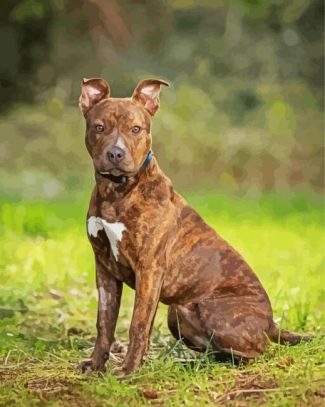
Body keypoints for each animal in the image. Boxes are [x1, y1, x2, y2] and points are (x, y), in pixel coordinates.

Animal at [78, 76, 312, 376]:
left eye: (136, 129)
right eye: (99, 127)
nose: (116, 153)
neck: (116, 191)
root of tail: (271, 323)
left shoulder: (149, 269)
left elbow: (138, 324)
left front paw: (128, 370)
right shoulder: (105, 269)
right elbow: (104, 324)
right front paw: (96, 365)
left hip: (212, 312)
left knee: (256, 353)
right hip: (178, 313)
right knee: (217, 350)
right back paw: (191, 363)